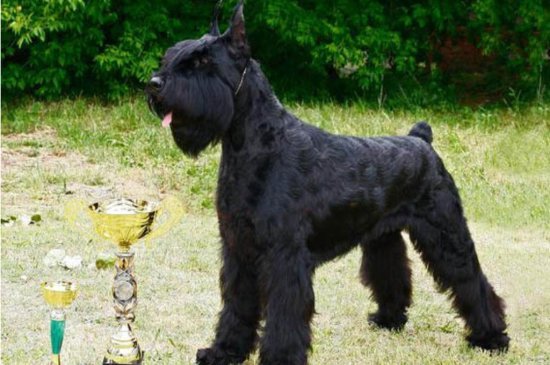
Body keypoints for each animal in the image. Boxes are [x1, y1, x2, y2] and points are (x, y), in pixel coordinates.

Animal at [146, 3, 508, 364]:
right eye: (174, 56)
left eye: (203, 62)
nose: (154, 83)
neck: (256, 145)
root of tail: (422, 140)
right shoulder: (238, 250)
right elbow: (236, 305)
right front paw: (224, 351)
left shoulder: (284, 257)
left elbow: (284, 315)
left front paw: (279, 358)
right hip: (383, 237)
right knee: (392, 273)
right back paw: (388, 318)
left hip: (446, 234)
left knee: (472, 281)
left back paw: (491, 337)